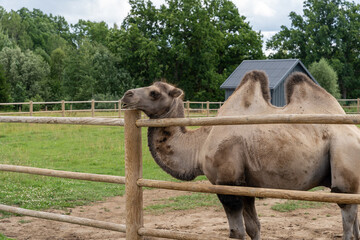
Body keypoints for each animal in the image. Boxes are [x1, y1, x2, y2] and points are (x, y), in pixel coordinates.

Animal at [121, 70, 360, 239]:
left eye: (155, 93)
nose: (126, 95)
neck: (200, 145)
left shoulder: (228, 184)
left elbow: (236, 233)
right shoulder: (246, 186)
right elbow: (254, 228)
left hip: (344, 159)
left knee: (347, 218)